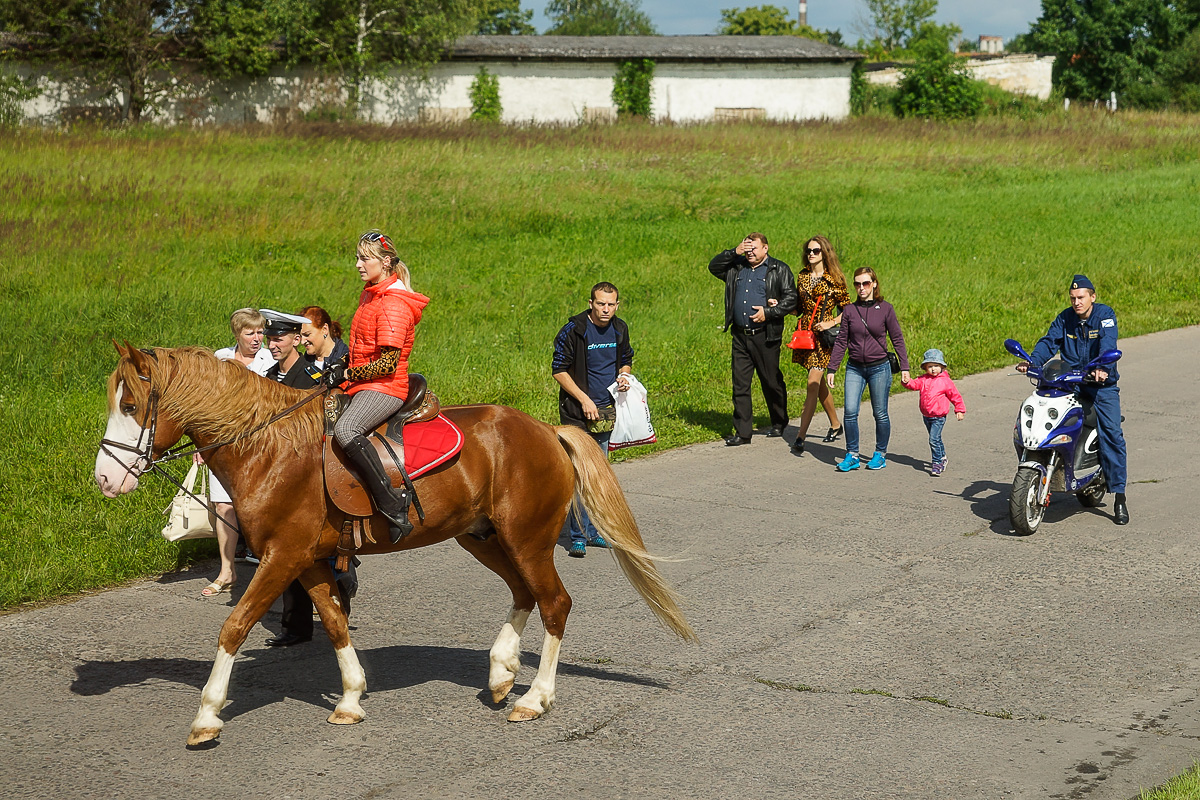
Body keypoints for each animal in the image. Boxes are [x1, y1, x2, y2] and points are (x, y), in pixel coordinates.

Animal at [96, 345, 696, 743]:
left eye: (131, 405)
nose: (105, 479)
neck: (268, 447)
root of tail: (547, 430)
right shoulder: (306, 560)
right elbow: (334, 621)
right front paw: (351, 698)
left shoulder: (280, 556)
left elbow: (234, 626)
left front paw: (207, 716)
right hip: (482, 537)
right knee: (525, 595)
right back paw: (501, 672)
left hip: (525, 539)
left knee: (554, 603)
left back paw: (532, 698)